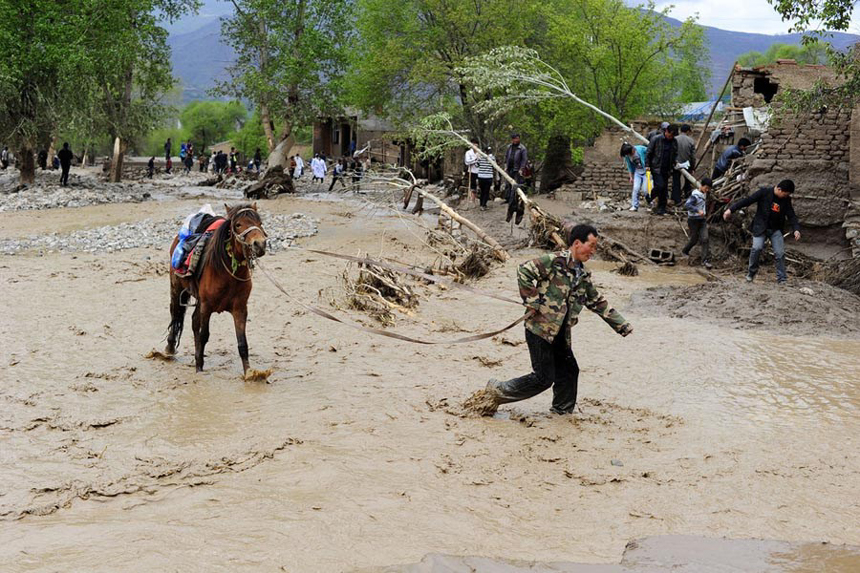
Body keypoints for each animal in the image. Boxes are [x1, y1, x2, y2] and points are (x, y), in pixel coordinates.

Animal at [164, 201, 266, 376]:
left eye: (259, 222)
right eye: (238, 224)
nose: (259, 244)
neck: (228, 273)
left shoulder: (240, 308)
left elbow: (242, 343)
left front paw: (249, 373)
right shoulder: (207, 306)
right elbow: (204, 335)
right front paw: (199, 369)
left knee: (193, 321)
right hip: (176, 288)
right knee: (176, 315)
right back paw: (170, 349)